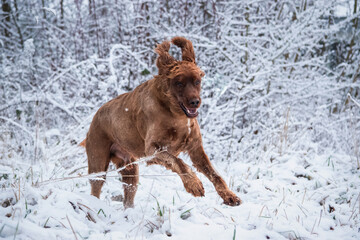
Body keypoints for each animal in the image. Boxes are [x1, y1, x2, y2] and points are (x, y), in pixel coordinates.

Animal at [82, 36, 242, 207]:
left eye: (197, 81)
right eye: (179, 83)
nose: (195, 102)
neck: (176, 115)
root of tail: (95, 117)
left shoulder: (196, 148)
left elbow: (214, 174)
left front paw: (229, 195)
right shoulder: (153, 149)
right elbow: (178, 162)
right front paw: (194, 185)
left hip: (130, 170)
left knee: (128, 197)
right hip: (98, 164)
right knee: (95, 189)